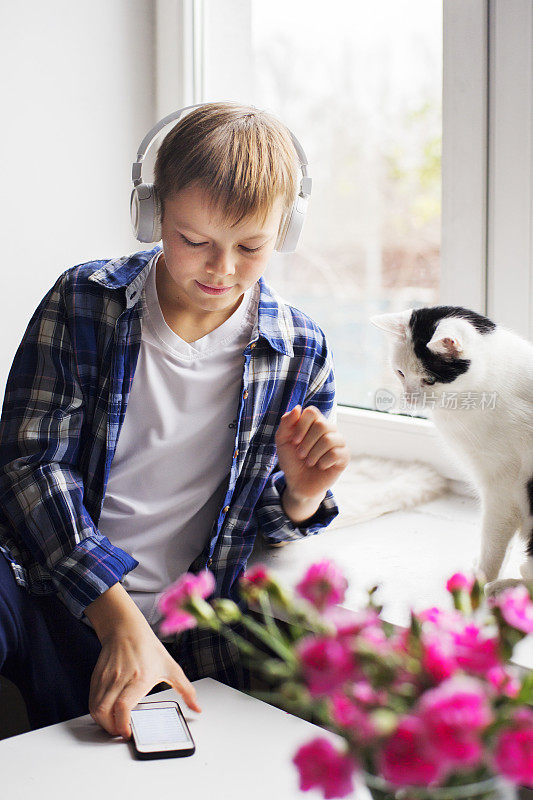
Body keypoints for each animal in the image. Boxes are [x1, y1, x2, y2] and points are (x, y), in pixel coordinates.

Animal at [370, 306, 532, 592]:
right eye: (400, 373)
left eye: (429, 380)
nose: (409, 398)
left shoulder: (501, 488)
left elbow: (493, 543)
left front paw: (480, 581)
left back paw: (503, 587)